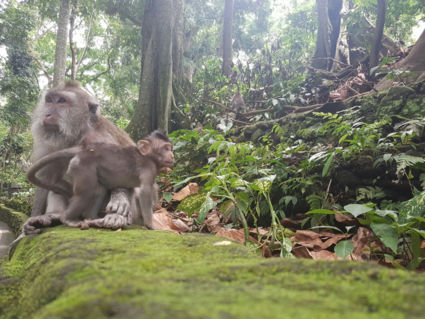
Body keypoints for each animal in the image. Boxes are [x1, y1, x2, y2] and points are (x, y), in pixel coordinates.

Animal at [23, 80, 136, 235]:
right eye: (50, 100)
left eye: (62, 101)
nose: (47, 114)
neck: (78, 135)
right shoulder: (48, 145)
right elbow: (47, 177)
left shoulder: (100, 140)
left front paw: (119, 201)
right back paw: (55, 215)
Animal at [26, 131, 173, 231]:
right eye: (166, 148)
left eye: (170, 148)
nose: (172, 155)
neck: (149, 157)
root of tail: (83, 150)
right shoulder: (148, 168)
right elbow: (145, 191)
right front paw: (151, 225)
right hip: (81, 167)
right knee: (88, 192)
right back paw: (68, 219)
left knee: (98, 191)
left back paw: (92, 219)